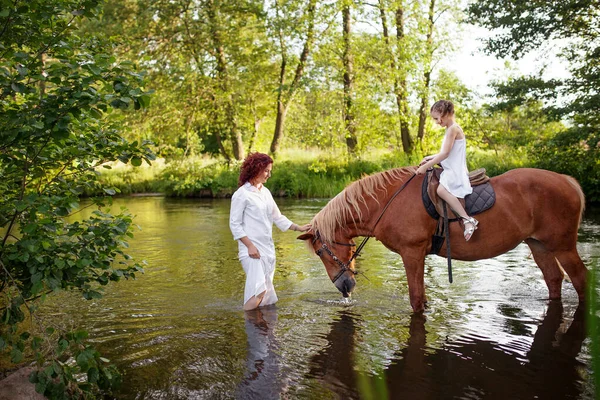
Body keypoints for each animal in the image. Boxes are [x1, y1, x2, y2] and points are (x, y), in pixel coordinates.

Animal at [298, 166, 588, 312]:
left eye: (321, 252)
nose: (344, 286)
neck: (388, 202)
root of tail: (567, 181)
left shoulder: (412, 253)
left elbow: (416, 299)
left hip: (563, 246)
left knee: (580, 278)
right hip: (539, 246)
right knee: (554, 279)